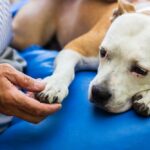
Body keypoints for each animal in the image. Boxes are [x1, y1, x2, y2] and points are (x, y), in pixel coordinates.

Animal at [11, 0, 150, 116]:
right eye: (102, 52)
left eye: (141, 70)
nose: (99, 92)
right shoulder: (75, 48)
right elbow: (66, 70)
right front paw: (54, 85)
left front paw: (147, 98)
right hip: (28, 36)